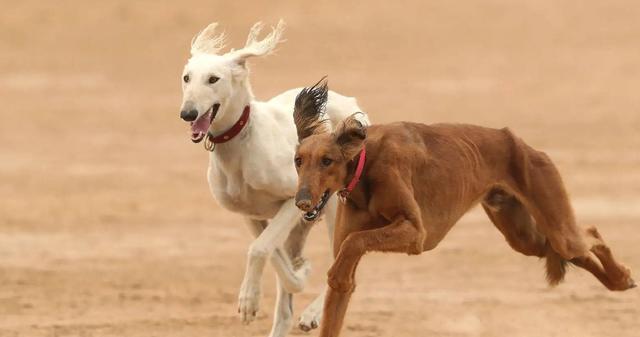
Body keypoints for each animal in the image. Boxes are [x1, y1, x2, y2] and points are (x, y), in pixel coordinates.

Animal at [178, 21, 368, 336]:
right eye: (186, 78)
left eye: (214, 79)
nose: (187, 113)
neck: (241, 144)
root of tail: (349, 104)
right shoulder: (250, 214)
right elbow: (271, 253)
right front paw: (297, 273)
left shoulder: (293, 199)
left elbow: (259, 249)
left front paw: (249, 301)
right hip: (301, 227)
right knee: (288, 299)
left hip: (334, 209)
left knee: (343, 267)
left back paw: (312, 313)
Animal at [292, 79, 636, 336]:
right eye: (298, 160)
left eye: (327, 161)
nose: (302, 201)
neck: (364, 166)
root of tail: (518, 142)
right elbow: (342, 283)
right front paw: (338, 278)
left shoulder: (415, 232)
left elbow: (355, 242)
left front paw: (337, 271)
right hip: (523, 236)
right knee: (574, 248)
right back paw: (618, 281)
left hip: (553, 219)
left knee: (588, 235)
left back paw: (622, 276)